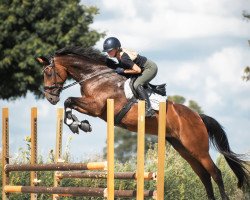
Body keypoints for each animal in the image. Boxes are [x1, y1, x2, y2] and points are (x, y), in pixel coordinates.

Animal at [35, 46, 250, 199]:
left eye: (48, 72)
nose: (50, 98)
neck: (95, 77)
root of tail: (198, 116)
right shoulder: (93, 107)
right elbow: (69, 103)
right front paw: (79, 123)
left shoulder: (96, 106)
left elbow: (68, 100)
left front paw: (76, 124)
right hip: (184, 148)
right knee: (204, 175)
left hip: (198, 148)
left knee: (216, 173)